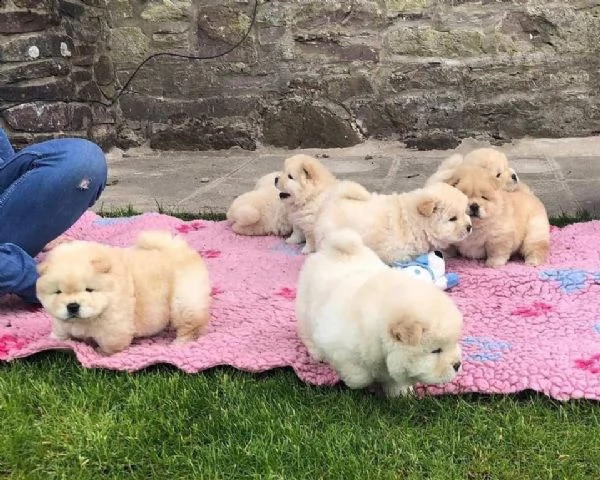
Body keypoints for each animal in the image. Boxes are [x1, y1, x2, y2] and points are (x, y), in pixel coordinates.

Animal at [36, 231, 212, 354]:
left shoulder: (114, 327)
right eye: (58, 292)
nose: (72, 306)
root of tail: (178, 248)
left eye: (89, 289)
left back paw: (180, 343)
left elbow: (111, 344)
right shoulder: (60, 320)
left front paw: (100, 352)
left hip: (184, 302)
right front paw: (54, 340)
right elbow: (60, 329)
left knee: (189, 325)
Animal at [296, 229, 464, 398]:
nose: (458, 365)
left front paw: (401, 393)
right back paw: (318, 354)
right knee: (307, 334)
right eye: (436, 350)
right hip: (305, 308)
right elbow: (359, 377)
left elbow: (394, 380)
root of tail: (334, 250)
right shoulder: (337, 345)